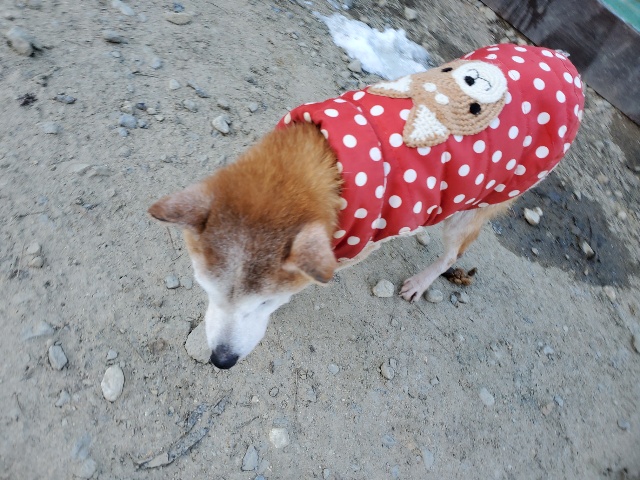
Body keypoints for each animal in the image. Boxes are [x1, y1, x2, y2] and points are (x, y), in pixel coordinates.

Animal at [149, 44, 584, 369]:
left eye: (266, 302)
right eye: (207, 289)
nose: (221, 360)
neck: (324, 163)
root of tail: (566, 62)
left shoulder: (348, 247)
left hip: (486, 200)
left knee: (451, 255)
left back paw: (422, 281)